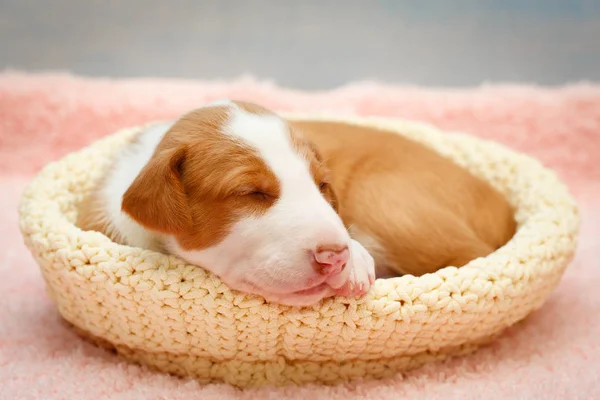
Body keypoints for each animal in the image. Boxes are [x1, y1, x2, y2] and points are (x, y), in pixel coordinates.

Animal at [78, 100, 516, 306]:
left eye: (323, 185)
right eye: (251, 192)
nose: (333, 258)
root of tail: (505, 211)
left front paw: (356, 261)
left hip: (392, 207)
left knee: (474, 256)